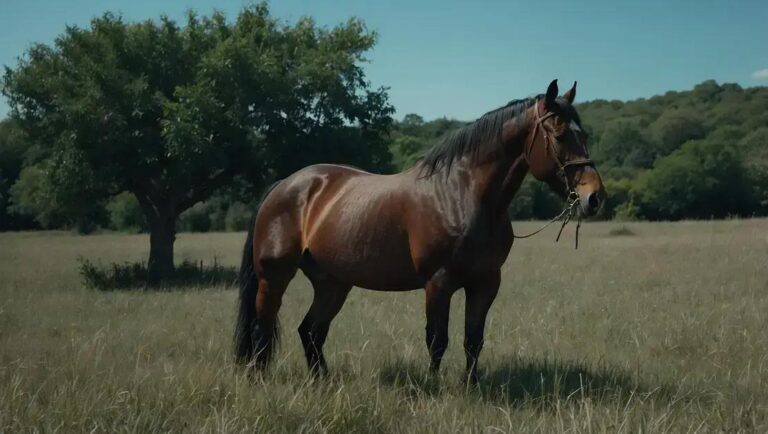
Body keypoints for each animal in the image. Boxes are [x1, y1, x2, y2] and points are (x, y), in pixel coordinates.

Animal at [235, 80, 606, 383]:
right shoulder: (438, 282)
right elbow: (437, 340)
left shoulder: (485, 283)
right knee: (261, 327)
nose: (594, 197)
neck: (462, 194)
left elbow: (473, 340)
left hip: (332, 283)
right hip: (274, 278)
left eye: (584, 135)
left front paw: (471, 387)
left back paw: (321, 382)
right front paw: (433, 387)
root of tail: (285, 185)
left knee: (311, 331)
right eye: (559, 134)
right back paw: (258, 379)